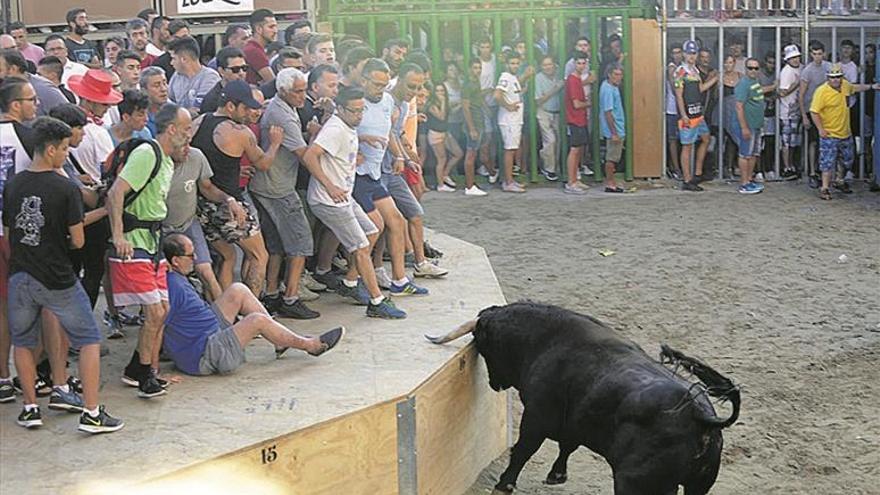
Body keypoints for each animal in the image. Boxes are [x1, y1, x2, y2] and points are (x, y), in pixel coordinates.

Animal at [428, 302, 744, 495]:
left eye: (484, 346)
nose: (495, 384)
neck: (543, 340)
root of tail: (701, 416)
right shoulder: (576, 420)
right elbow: (568, 445)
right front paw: (557, 475)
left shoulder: (536, 417)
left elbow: (523, 450)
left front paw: (504, 484)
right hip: (696, 486)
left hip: (634, 482)